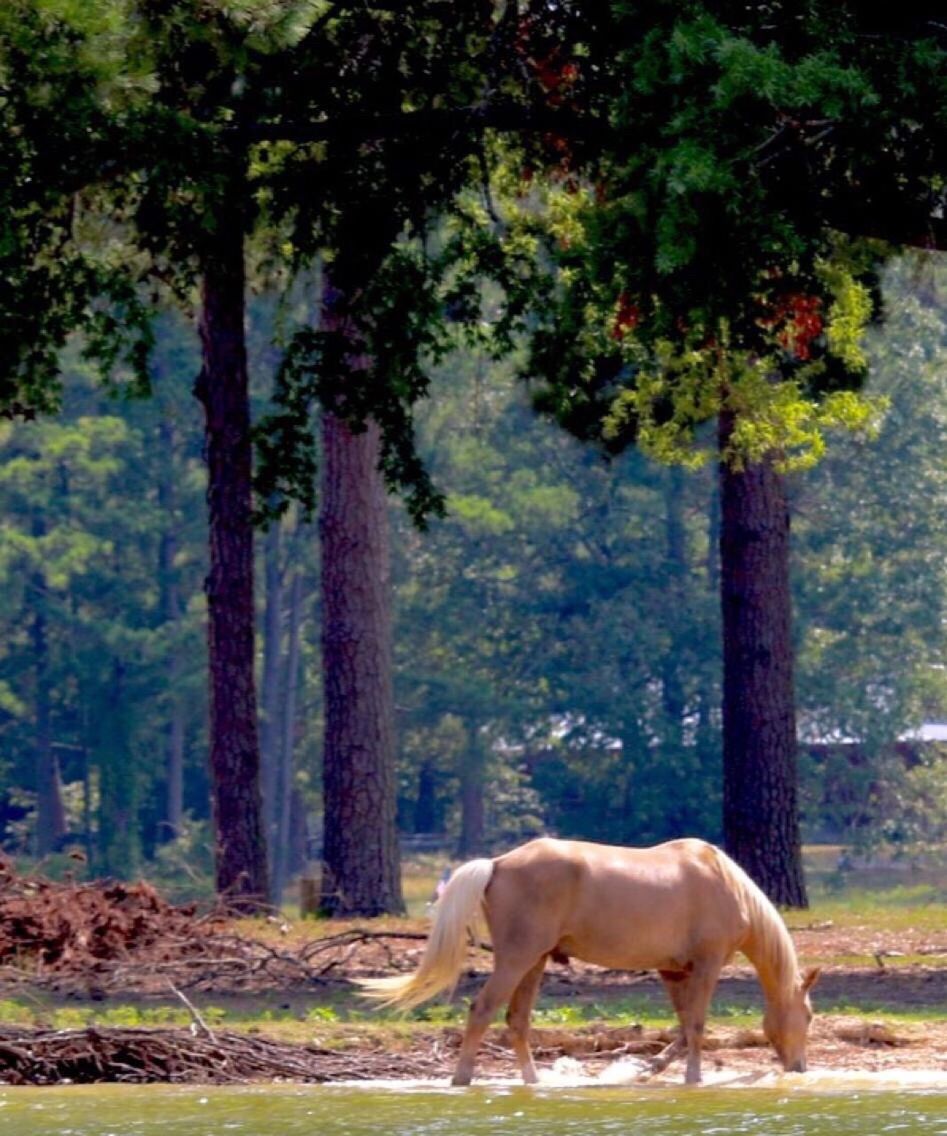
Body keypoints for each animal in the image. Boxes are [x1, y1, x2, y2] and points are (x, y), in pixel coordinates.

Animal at [358, 840, 817, 1086]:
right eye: (809, 1016)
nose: (799, 1069)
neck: (722, 881)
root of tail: (498, 864)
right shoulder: (707, 964)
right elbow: (698, 1025)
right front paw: (692, 1077)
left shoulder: (673, 971)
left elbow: (685, 1027)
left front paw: (652, 1068)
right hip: (517, 959)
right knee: (482, 1010)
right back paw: (462, 1078)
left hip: (534, 962)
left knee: (517, 1021)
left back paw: (532, 1081)